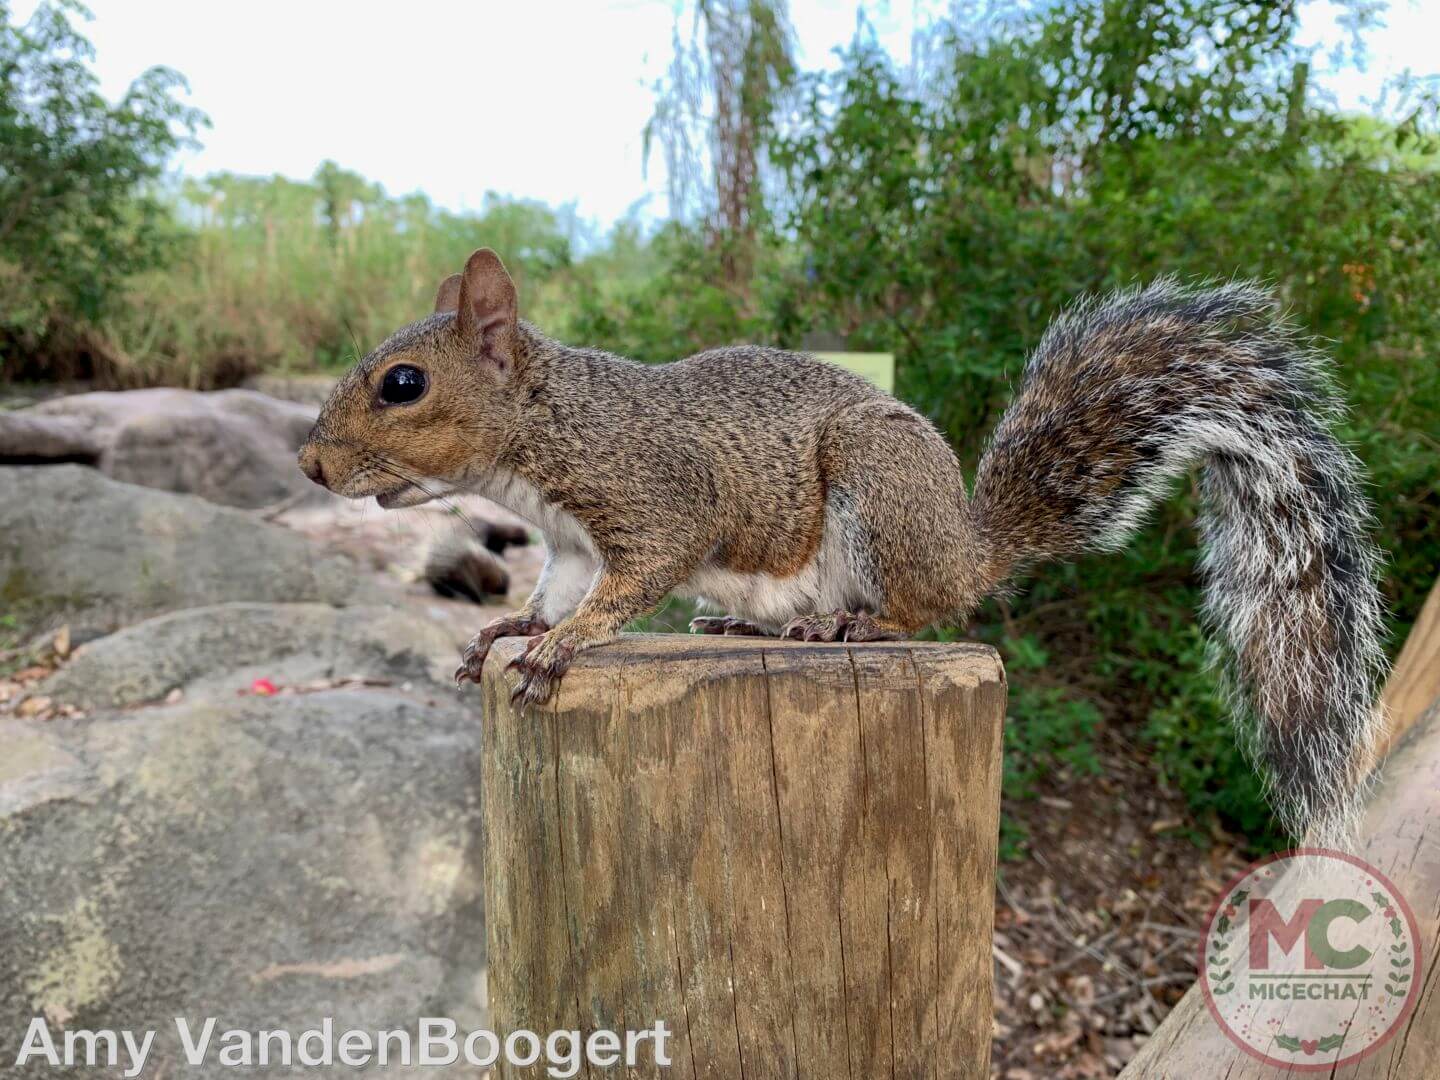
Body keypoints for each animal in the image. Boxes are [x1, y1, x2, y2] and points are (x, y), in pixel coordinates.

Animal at [298, 249, 1388, 852]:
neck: (545, 428)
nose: (308, 463)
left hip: (877, 491)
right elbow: (555, 589)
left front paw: (566, 647)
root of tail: (965, 544)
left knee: (919, 612)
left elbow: (629, 585)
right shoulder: (566, 539)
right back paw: (743, 624)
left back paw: (843, 626)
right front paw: (509, 631)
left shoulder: (659, 501)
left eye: (403, 384)